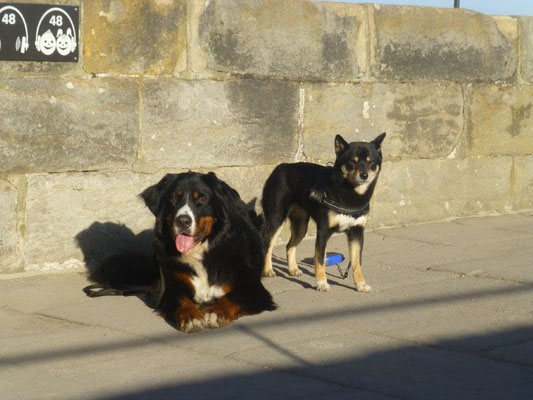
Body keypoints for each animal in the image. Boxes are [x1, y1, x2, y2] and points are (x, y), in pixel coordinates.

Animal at [85, 172, 276, 332]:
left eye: (202, 199)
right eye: (173, 199)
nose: (183, 221)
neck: (202, 252)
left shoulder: (251, 287)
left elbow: (231, 298)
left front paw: (215, 312)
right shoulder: (172, 285)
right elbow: (181, 299)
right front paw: (191, 316)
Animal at [260, 133, 384, 292]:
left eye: (371, 162)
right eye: (352, 161)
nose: (364, 175)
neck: (351, 197)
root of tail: (279, 167)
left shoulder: (357, 232)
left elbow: (357, 263)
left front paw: (360, 284)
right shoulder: (323, 231)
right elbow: (320, 260)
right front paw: (321, 283)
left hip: (301, 226)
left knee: (289, 246)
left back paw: (293, 269)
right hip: (276, 219)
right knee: (267, 244)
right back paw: (268, 270)